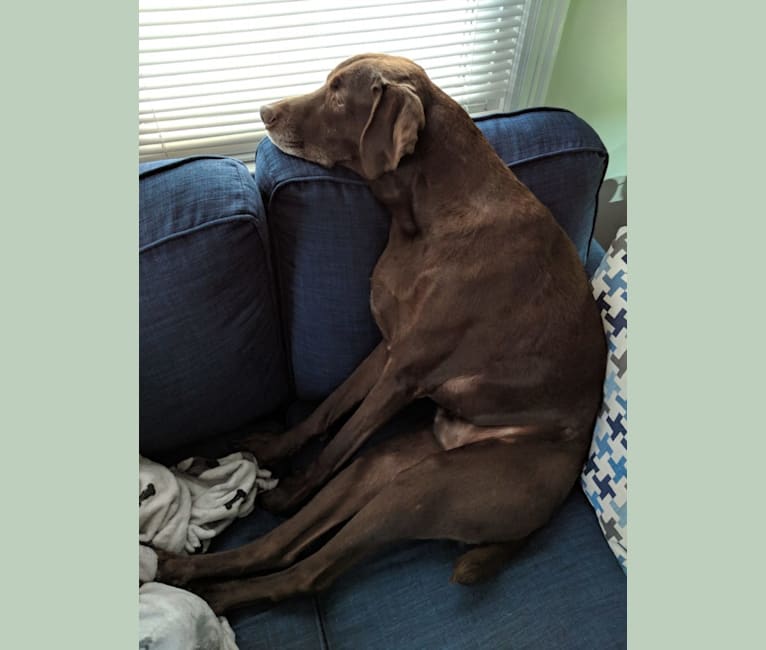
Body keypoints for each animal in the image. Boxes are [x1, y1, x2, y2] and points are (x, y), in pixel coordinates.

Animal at [159, 53, 608, 612]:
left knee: (310, 573)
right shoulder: (387, 347)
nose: (265, 112)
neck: (429, 216)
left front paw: (294, 483)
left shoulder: (405, 372)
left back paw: (219, 589)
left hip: (425, 488)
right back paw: (189, 568)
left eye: (336, 93)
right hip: (386, 465)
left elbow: (337, 442)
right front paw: (277, 449)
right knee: (286, 544)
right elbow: (328, 410)